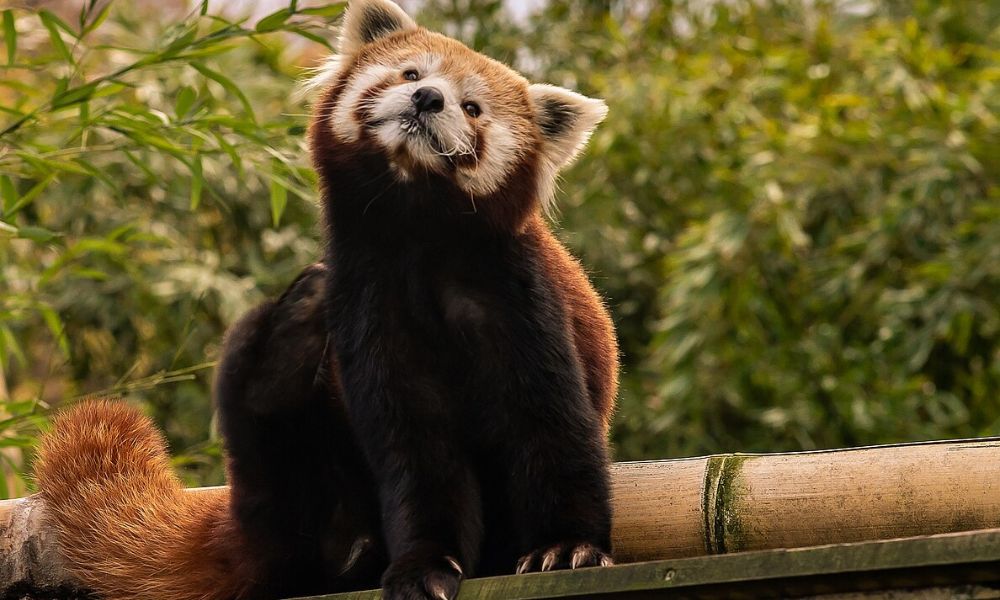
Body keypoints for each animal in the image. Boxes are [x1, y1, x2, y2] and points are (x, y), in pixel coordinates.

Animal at [35, 1, 616, 600]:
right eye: (411, 72)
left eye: (473, 107)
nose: (428, 98)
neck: (415, 229)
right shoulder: (365, 302)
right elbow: (413, 451)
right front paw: (423, 564)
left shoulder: (518, 297)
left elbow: (549, 425)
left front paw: (564, 547)